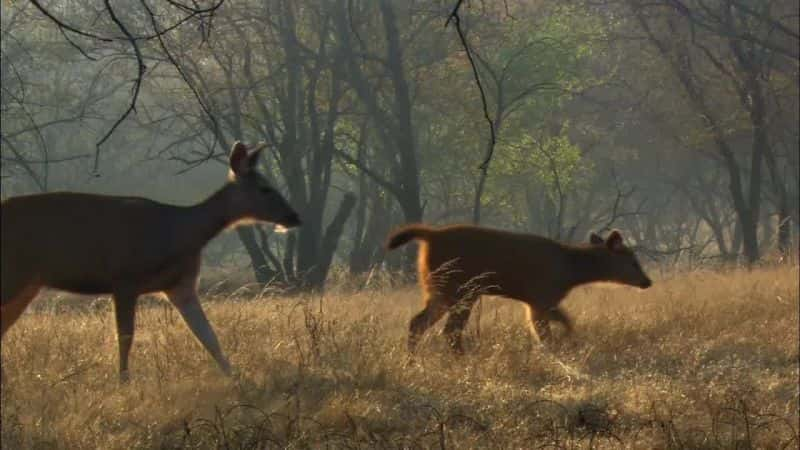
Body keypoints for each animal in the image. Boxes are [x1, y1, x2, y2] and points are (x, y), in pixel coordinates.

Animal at [1, 141, 302, 380]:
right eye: (265, 188)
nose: (294, 217)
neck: (181, 233)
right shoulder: (124, 278)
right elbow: (125, 336)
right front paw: (123, 383)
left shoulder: (181, 286)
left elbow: (208, 336)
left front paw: (236, 378)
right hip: (14, 274)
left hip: (27, 283)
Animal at [384, 223, 652, 354]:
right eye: (632, 261)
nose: (647, 281)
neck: (569, 270)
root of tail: (430, 235)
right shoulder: (541, 296)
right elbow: (546, 331)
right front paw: (558, 349)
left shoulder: (541, 300)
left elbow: (565, 321)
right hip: (460, 287)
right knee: (449, 330)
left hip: (440, 289)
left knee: (419, 322)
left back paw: (412, 360)